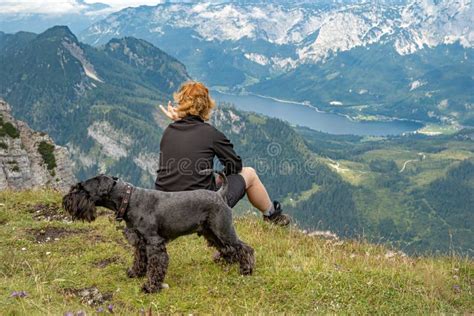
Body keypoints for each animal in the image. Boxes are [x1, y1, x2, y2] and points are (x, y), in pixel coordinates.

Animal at [64, 172, 256, 292]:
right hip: (212, 232)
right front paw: (135, 273)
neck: (129, 199)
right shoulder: (140, 242)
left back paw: (246, 269)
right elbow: (140, 260)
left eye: (82, 189)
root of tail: (219, 194)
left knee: (245, 248)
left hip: (223, 229)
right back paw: (228, 263)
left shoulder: (154, 243)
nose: (66, 201)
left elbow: (156, 265)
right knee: (228, 248)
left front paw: (150, 287)